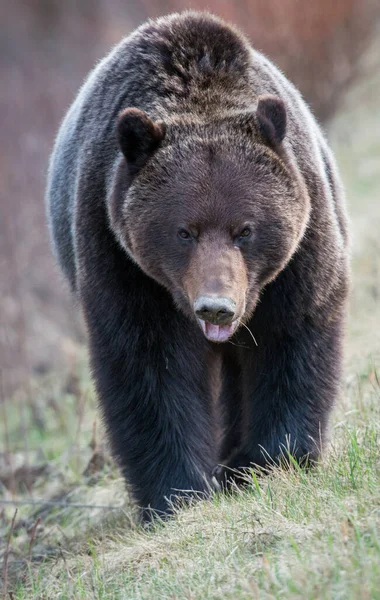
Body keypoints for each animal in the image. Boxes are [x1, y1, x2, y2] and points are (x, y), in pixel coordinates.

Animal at [46, 10, 350, 520]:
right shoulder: (119, 257)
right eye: (183, 231)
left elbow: (291, 338)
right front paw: (177, 492)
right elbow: (149, 367)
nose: (216, 307)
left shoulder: (300, 248)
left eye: (245, 229)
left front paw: (273, 459)